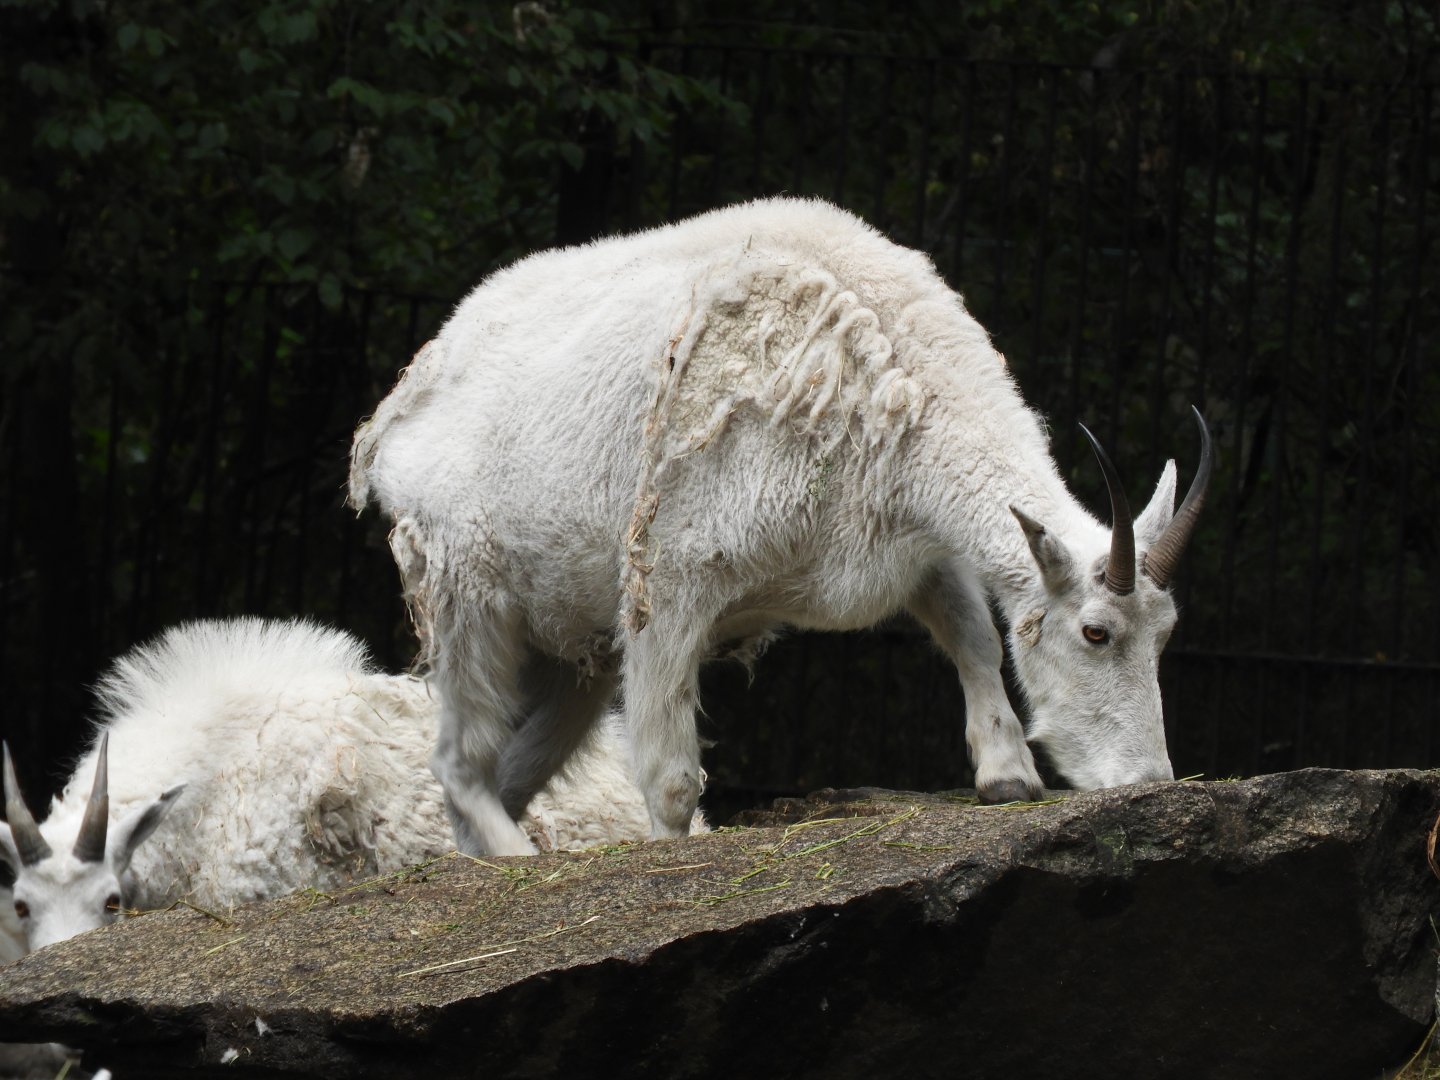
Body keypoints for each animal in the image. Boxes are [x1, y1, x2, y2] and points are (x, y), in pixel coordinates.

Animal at [348, 196, 1213, 856]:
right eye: (1096, 632)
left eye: (1166, 634)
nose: (1149, 782)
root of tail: (398, 417)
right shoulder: (674, 578)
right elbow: (671, 774)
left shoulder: (913, 548)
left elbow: (971, 633)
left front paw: (1006, 775)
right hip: (467, 597)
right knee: (460, 760)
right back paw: (520, 859)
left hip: (569, 651)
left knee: (509, 766)